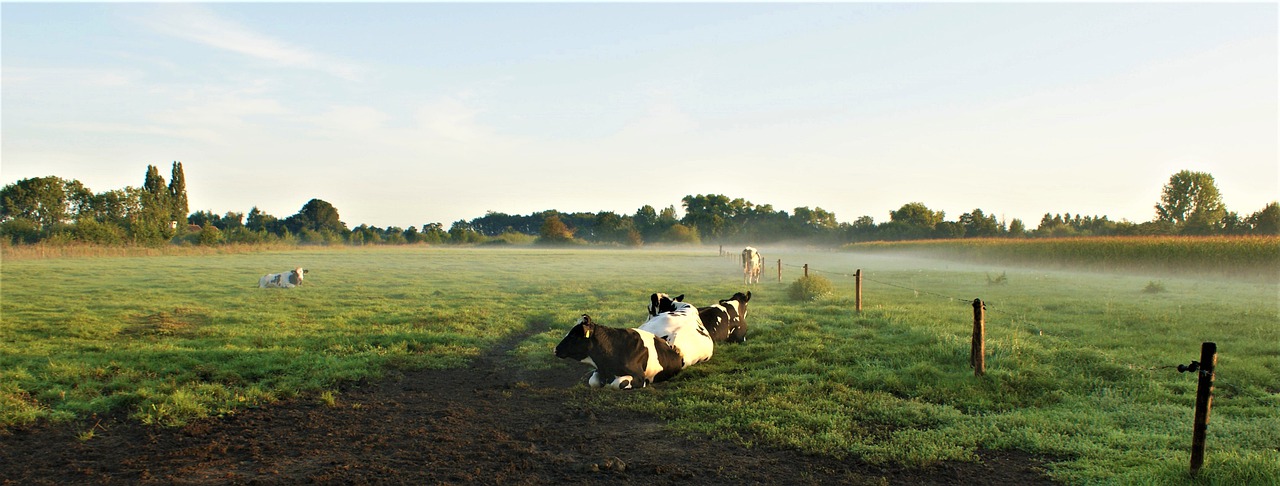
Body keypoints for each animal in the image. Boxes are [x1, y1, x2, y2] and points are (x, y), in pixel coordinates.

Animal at [555, 314, 686, 391]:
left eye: (573, 335)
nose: (556, 349)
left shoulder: (639, 376)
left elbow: (617, 383)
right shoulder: (600, 369)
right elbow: (593, 382)